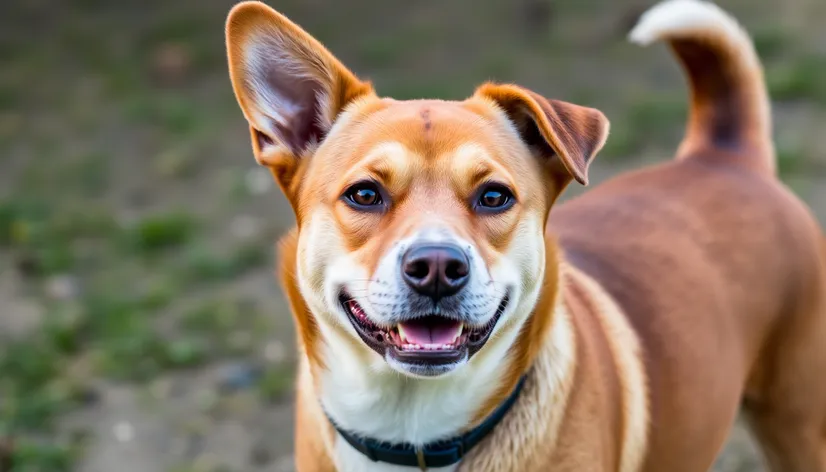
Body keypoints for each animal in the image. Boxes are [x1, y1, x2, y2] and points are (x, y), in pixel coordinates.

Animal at [222, 0, 824, 470]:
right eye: (365, 194)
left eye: (494, 197)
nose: (437, 267)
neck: (413, 429)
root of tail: (723, 154)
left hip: (797, 422)